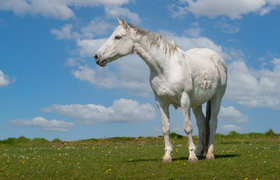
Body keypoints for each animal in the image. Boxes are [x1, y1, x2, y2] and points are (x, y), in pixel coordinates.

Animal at [94, 17, 228, 162]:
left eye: (117, 37)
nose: (97, 56)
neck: (166, 68)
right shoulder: (161, 102)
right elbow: (166, 128)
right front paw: (167, 156)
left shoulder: (184, 100)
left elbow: (187, 127)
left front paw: (191, 156)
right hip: (196, 103)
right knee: (202, 123)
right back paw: (199, 153)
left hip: (216, 98)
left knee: (212, 123)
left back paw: (209, 154)